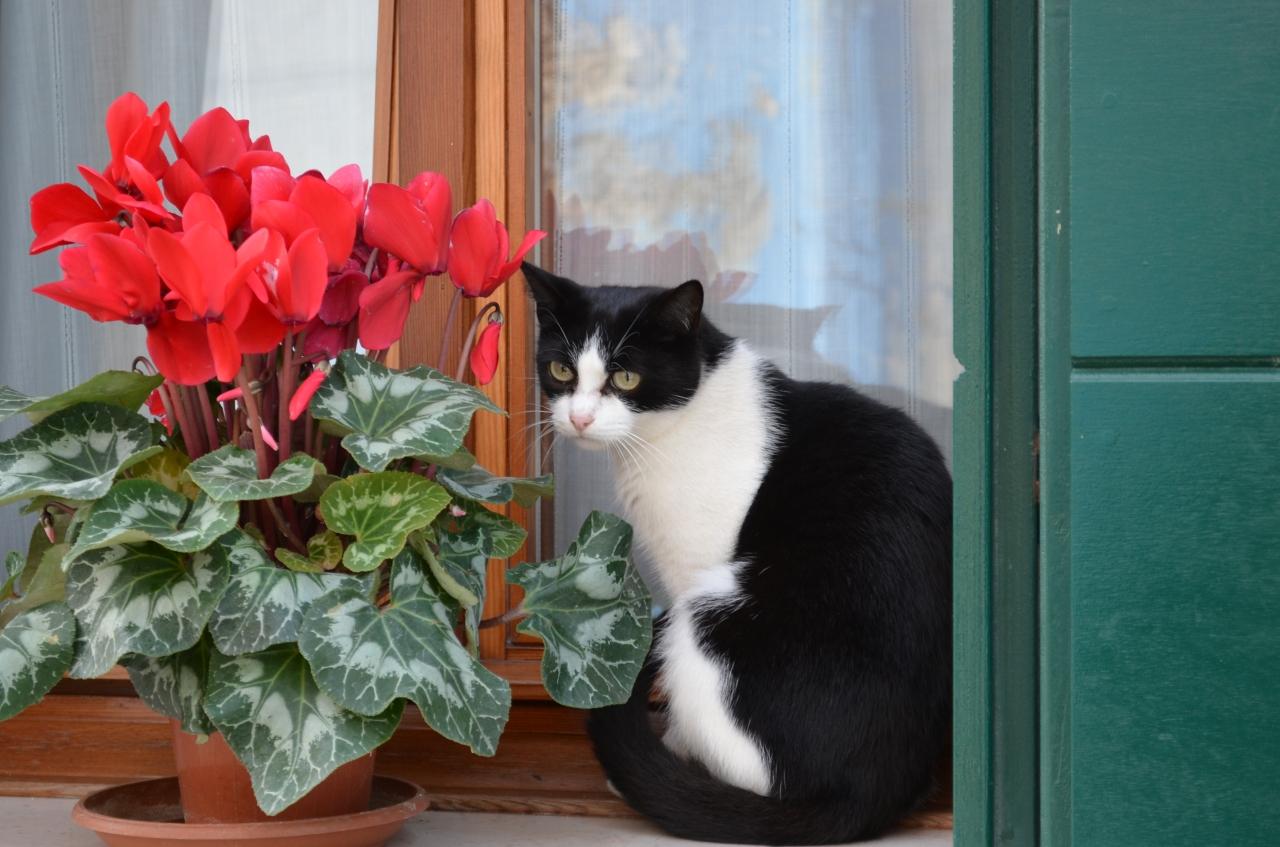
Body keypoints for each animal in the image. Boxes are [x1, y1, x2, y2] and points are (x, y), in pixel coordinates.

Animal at [522, 263, 952, 845]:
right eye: (562, 370)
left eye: (626, 378)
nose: (581, 418)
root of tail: (872, 789)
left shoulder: (694, 564)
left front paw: (670, 750)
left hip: (708, 614)